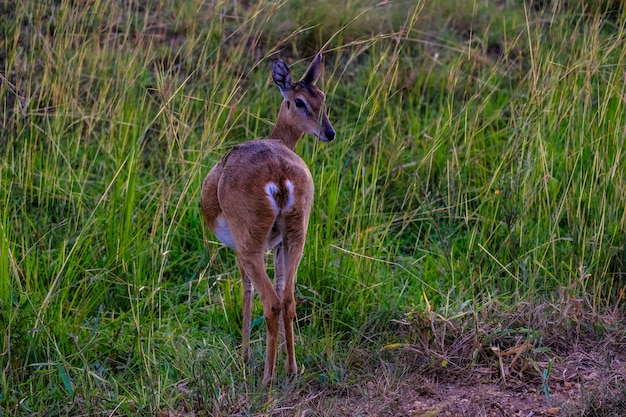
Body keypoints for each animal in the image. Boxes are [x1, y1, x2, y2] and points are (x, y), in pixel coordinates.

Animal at [202, 52, 334, 384]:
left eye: (321, 98)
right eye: (301, 100)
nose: (329, 133)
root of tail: (278, 173)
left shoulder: (241, 250)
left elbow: (246, 291)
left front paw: (244, 357)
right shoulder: (277, 245)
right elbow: (281, 286)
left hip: (251, 247)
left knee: (271, 302)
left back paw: (266, 377)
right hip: (297, 236)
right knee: (288, 299)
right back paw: (291, 369)